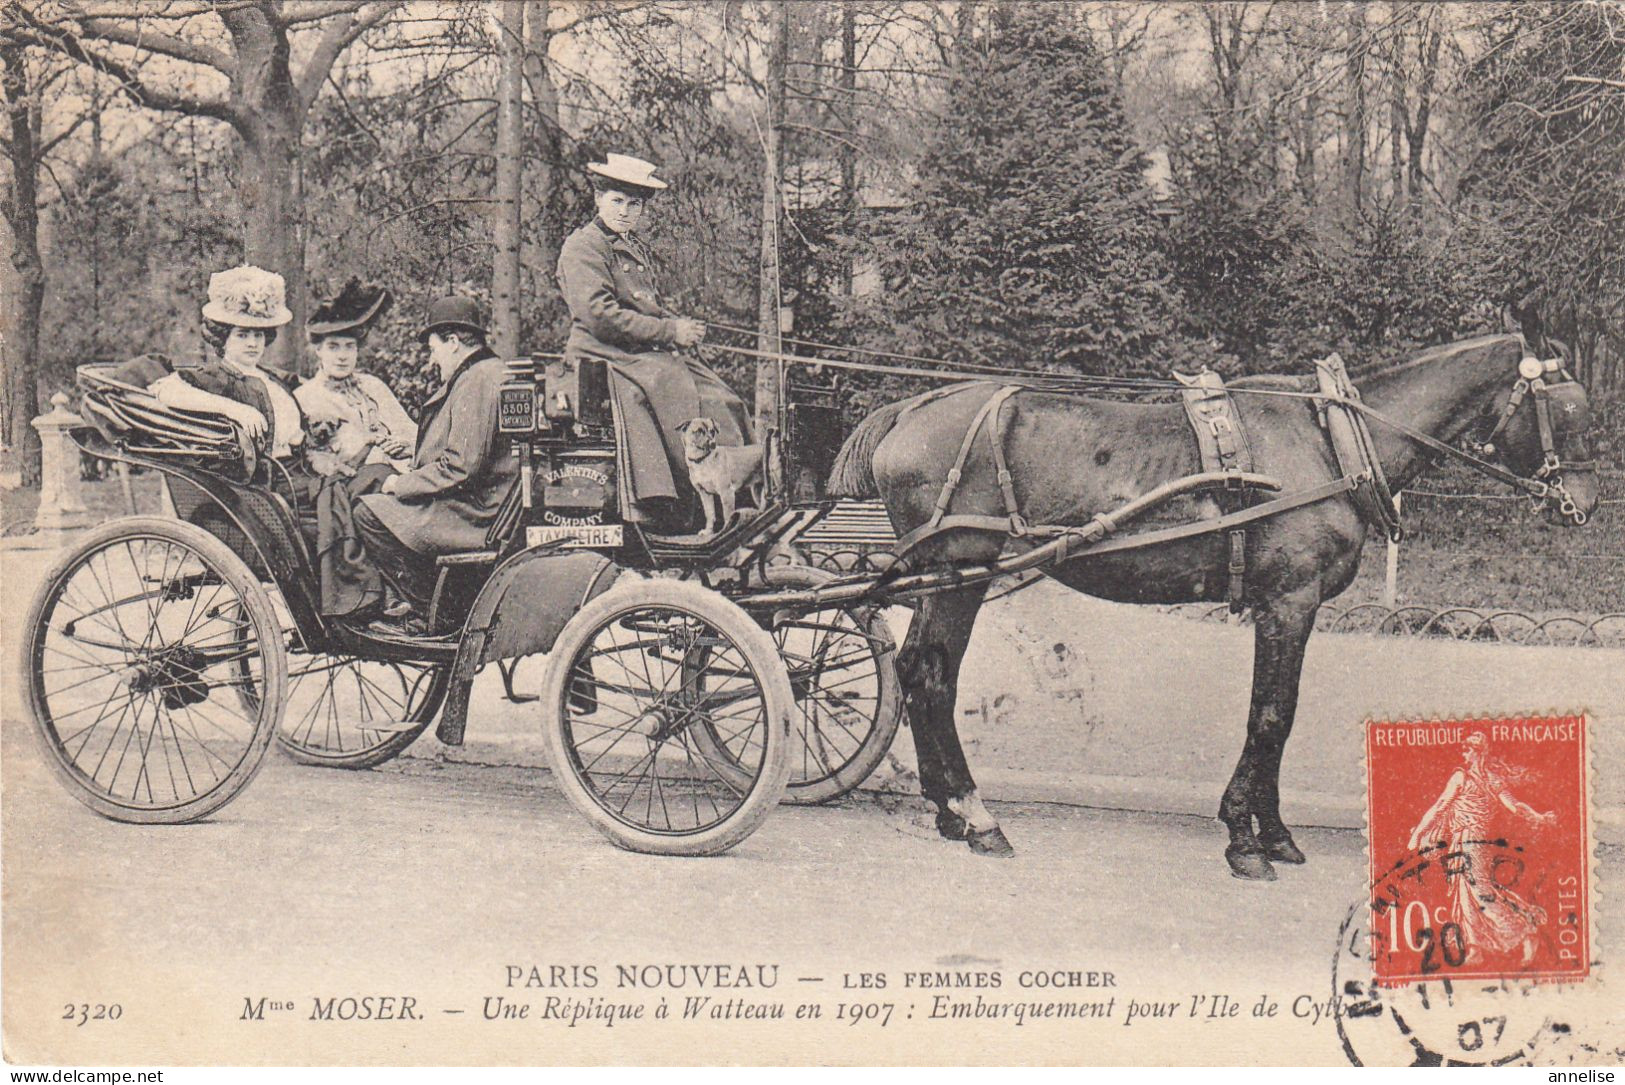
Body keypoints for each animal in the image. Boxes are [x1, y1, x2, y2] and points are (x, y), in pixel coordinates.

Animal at [825, 331, 1599, 883]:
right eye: (1568, 410)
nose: (1583, 505)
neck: (1332, 445)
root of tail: (910, 409)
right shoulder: (1288, 600)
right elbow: (1271, 713)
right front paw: (1244, 838)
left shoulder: (1285, 605)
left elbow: (1277, 713)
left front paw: (1275, 834)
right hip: (959, 575)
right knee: (931, 676)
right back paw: (975, 814)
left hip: (945, 578)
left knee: (917, 671)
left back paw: (950, 811)